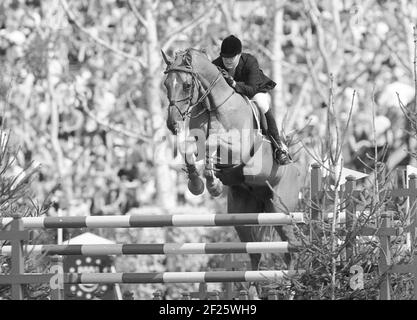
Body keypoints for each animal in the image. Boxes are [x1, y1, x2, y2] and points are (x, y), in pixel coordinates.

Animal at [161, 48, 300, 298]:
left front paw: (212, 183)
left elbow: (213, 145)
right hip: (243, 217)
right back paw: (254, 290)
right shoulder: (196, 140)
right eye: (166, 84)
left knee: (291, 249)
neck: (214, 106)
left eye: (186, 85)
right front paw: (197, 184)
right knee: (255, 253)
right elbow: (189, 149)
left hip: (280, 210)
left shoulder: (238, 149)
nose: (172, 124)